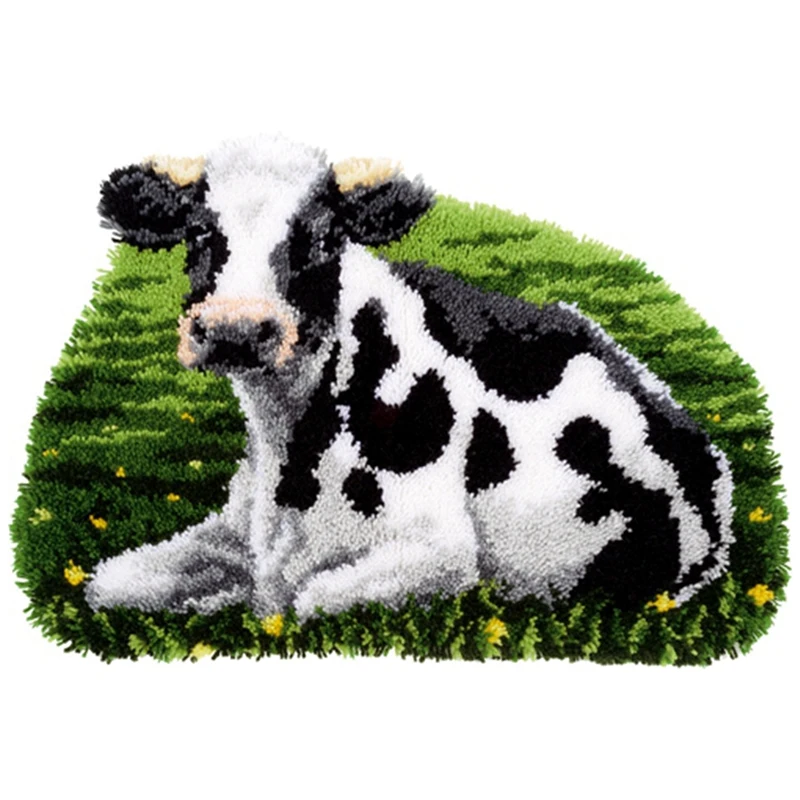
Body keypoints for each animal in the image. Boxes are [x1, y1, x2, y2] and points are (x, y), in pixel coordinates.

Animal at [85, 134, 734, 620]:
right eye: (198, 233)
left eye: (323, 238)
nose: (236, 329)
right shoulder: (235, 530)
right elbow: (109, 581)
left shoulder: (440, 554)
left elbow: (302, 601)